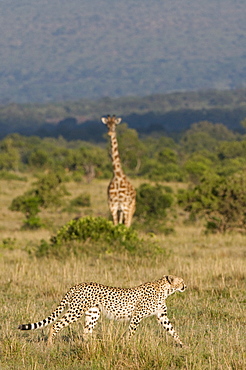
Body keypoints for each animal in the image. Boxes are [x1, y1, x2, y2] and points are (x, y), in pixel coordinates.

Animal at [17, 274, 186, 346]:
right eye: (181, 281)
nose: (186, 286)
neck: (165, 289)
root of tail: (76, 285)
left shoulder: (162, 316)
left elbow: (172, 330)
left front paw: (182, 344)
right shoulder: (136, 316)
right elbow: (131, 332)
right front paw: (127, 345)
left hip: (93, 313)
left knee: (86, 332)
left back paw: (91, 345)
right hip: (76, 311)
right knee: (55, 324)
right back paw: (50, 343)